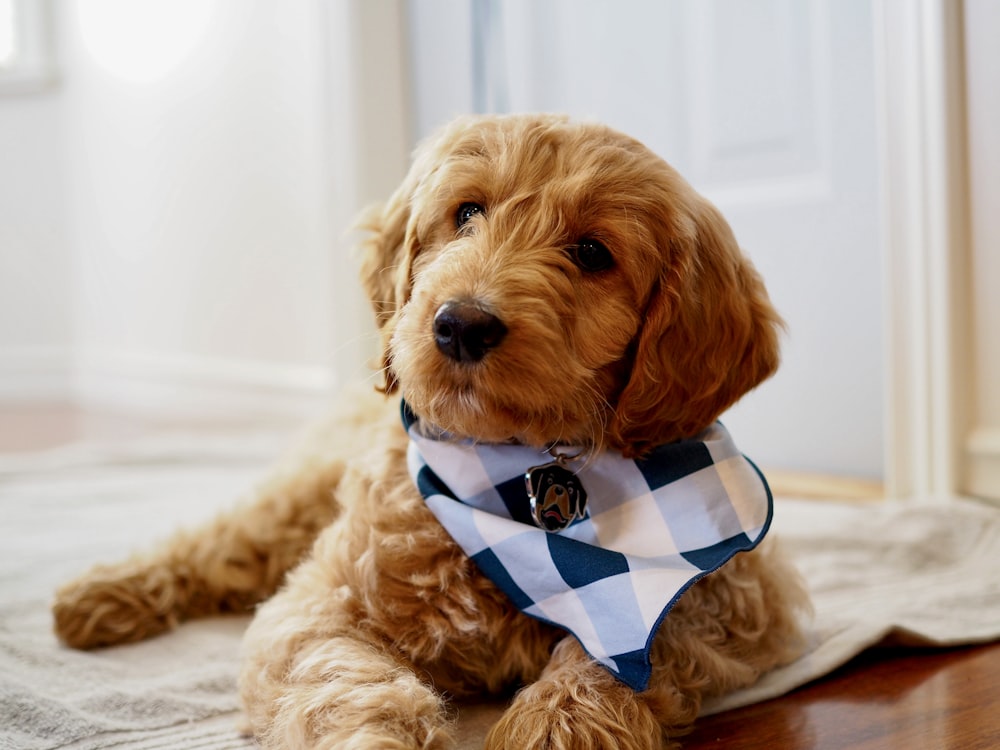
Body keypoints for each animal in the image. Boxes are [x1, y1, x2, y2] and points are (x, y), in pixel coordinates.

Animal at [52, 113, 804, 750]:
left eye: (593, 252)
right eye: (467, 212)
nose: (461, 323)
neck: (518, 479)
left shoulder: (734, 596)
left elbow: (639, 641)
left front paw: (557, 725)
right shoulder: (320, 605)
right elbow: (343, 678)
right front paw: (378, 736)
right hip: (298, 494)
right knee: (216, 545)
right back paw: (101, 596)